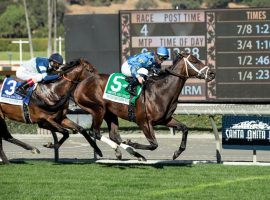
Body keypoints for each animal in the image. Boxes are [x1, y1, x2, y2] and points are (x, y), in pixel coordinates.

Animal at [73, 52, 216, 161]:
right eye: (194, 60)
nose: (212, 73)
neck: (161, 91)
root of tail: (82, 82)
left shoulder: (165, 119)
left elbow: (185, 128)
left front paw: (176, 153)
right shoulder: (144, 122)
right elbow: (154, 145)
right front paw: (131, 143)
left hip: (110, 113)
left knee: (114, 135)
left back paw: (132, 153)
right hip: (98, 109)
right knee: (94, 132)